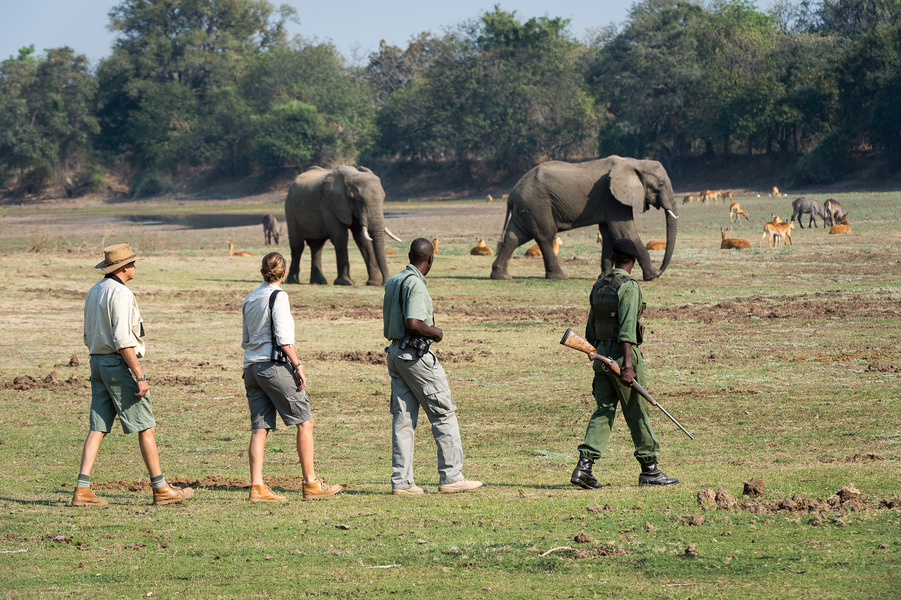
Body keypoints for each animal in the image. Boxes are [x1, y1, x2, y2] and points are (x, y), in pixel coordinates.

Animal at [492, 157, 676, 284]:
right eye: (660, 185)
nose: (660, 270)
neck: (634, 162)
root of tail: (512, 193)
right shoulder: (613, 199)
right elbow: (624, 231)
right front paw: (652, 276)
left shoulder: (609, 202)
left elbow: (608, 234)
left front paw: (604, 276)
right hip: (537, 205)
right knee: (545, 236)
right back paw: (560, 277)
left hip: (527, 208)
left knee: (514, 237)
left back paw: (501, 276)